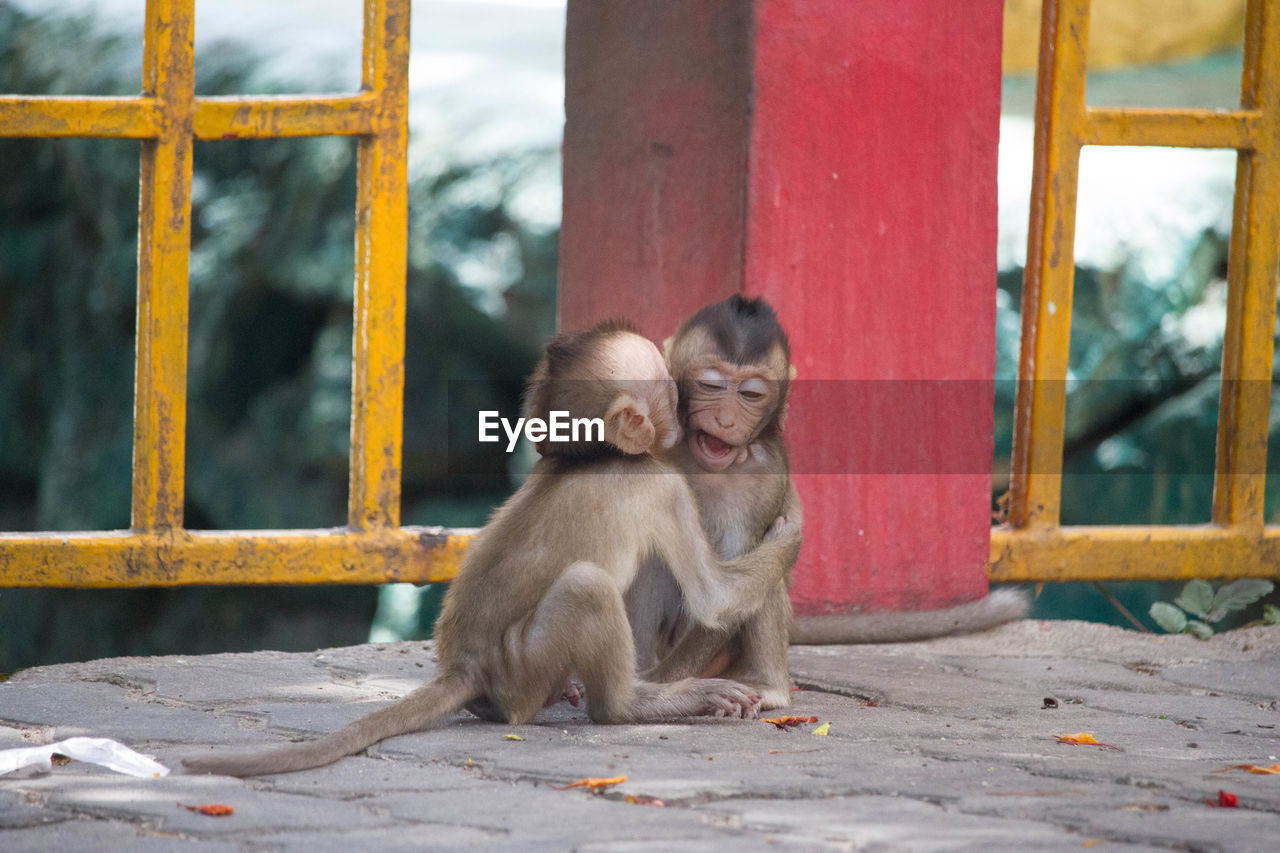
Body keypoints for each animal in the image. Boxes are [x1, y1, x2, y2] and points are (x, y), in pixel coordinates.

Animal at [183, 318, 798, 778]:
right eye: (671, 390)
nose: (684, 397)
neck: (604, 456)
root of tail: (467, 665)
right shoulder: (661, 484)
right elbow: (714, 597)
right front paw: (790, 532)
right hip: (524, 666)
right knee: (587, 588)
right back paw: (637, 703)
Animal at [629, 295, 1029, 706]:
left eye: (751, 394)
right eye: (711, 385)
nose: (725, 421)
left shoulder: (766, 474)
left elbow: (724, 592)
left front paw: (662, 686)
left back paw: (769, 688)